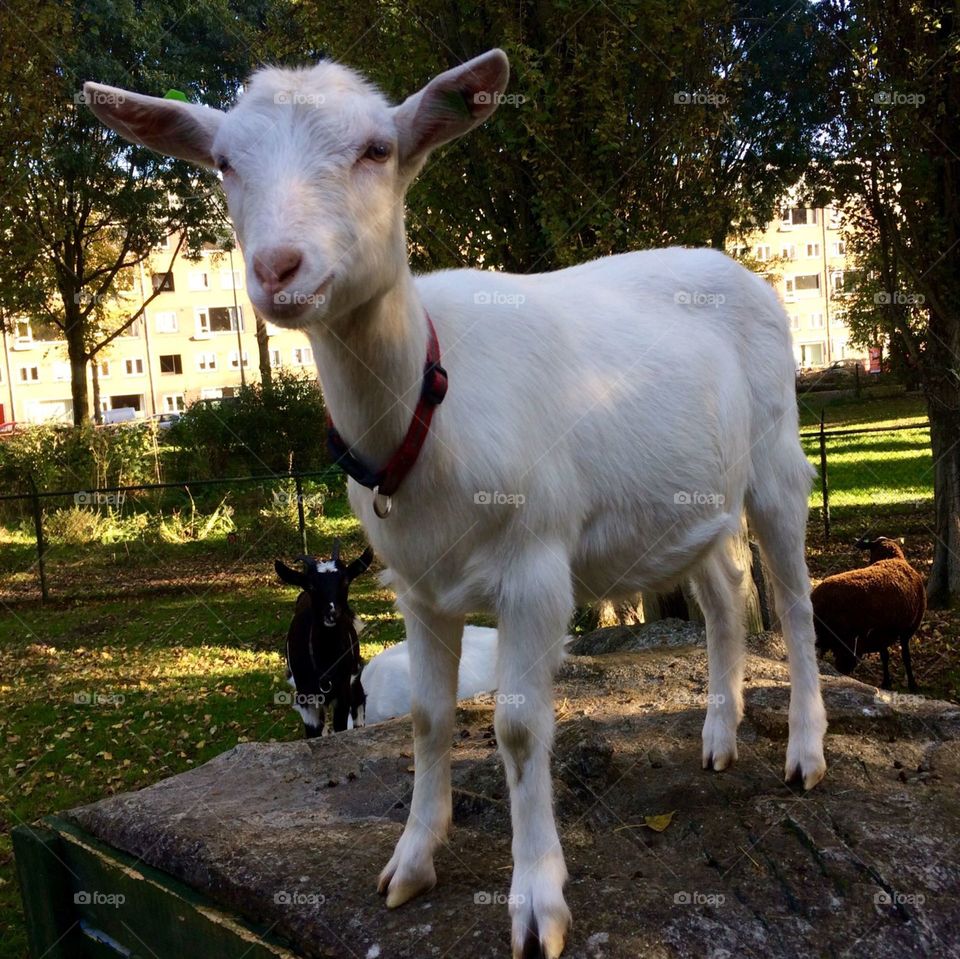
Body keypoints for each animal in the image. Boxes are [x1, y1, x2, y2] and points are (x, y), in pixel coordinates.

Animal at [275, 541, 374, 736]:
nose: (332, 613)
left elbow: (341, 727)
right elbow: (314, 734)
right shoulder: (306, 699)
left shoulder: (342, 693)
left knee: (359, 700)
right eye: (311, 585)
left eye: (345, 581)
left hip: (355, 671)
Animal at [813, 535, 925, 692]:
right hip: (845, 645)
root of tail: (815, 598)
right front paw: (912, 684)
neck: (892, 558)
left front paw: (887, 683)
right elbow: (906, 657)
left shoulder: (881, 634)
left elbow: (885, 656)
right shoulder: (907, 630)